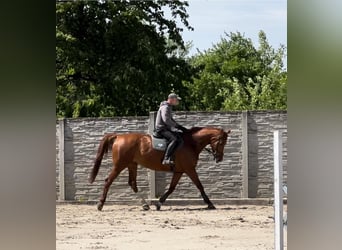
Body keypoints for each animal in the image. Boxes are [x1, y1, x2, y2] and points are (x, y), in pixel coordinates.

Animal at [89, 127, 231, 211]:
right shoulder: (190, 169)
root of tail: (118, 136)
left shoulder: (179, 171)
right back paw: (100, 204)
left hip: (132, 165)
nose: (219, 158)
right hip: (120, 165)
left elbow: (171, 188)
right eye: (221, 142)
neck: (191, 143)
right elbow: (200, 185)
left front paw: (159, 203)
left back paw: (145, 205)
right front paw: (210, 203)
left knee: (132, 183)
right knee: (108, 181)